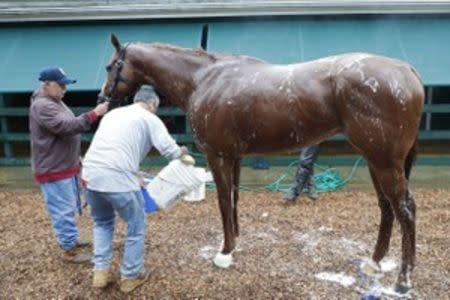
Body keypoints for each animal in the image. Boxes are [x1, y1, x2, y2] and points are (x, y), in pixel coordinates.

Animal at [100, 33, 424, 292]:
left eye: (110, 66)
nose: (103, 99)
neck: (203, 79)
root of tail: (407, 71)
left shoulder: (218, 156)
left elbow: (223, 200)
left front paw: (225, 252)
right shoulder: (234, 156)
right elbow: (234, 199)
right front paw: (235, 242)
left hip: (384, 163)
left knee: (405, 209)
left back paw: (403, 280)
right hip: (375, 160)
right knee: (386, 208)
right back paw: (374, 262)